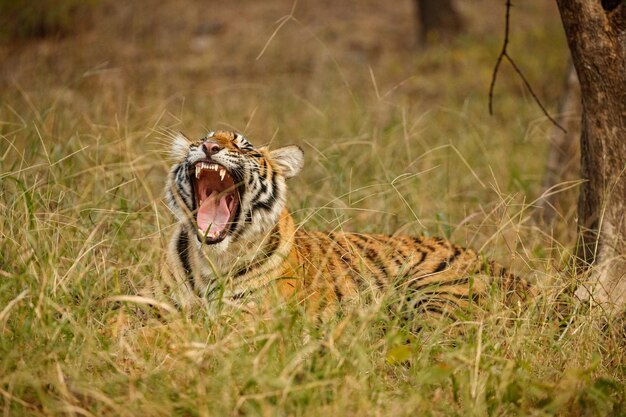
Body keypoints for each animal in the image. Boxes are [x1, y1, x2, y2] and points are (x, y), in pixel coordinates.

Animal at [155, 132, 532, 320]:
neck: (213, 257)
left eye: (243, 146)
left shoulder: (250, 319)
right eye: (201, 139)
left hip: (434, 292)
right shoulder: (160, 310)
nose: (208, 146)